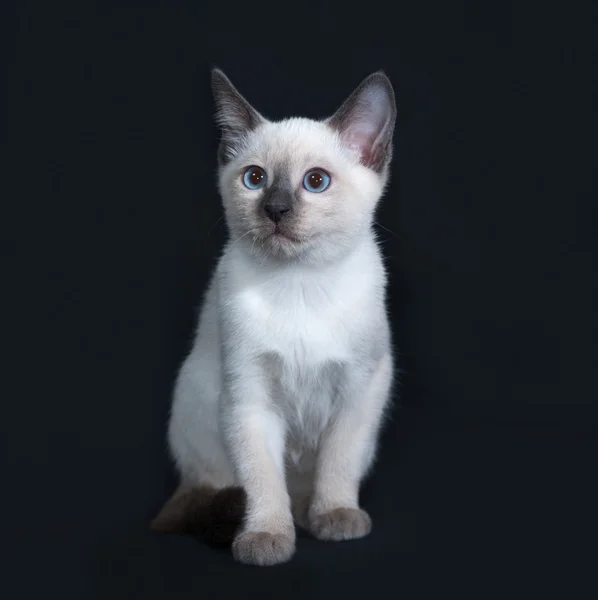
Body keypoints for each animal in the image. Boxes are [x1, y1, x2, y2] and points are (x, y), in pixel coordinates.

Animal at [152, 68, 398, 564]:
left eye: (316, 181)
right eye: (254, 178)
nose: (276, 209)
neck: (300, 284)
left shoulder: (360, 388)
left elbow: (339, 464)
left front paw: (335, 515)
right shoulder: (249, 398)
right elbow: (263, 481)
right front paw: (266, 537)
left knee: (308, 486)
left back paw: (311, 513)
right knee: (213, 490)